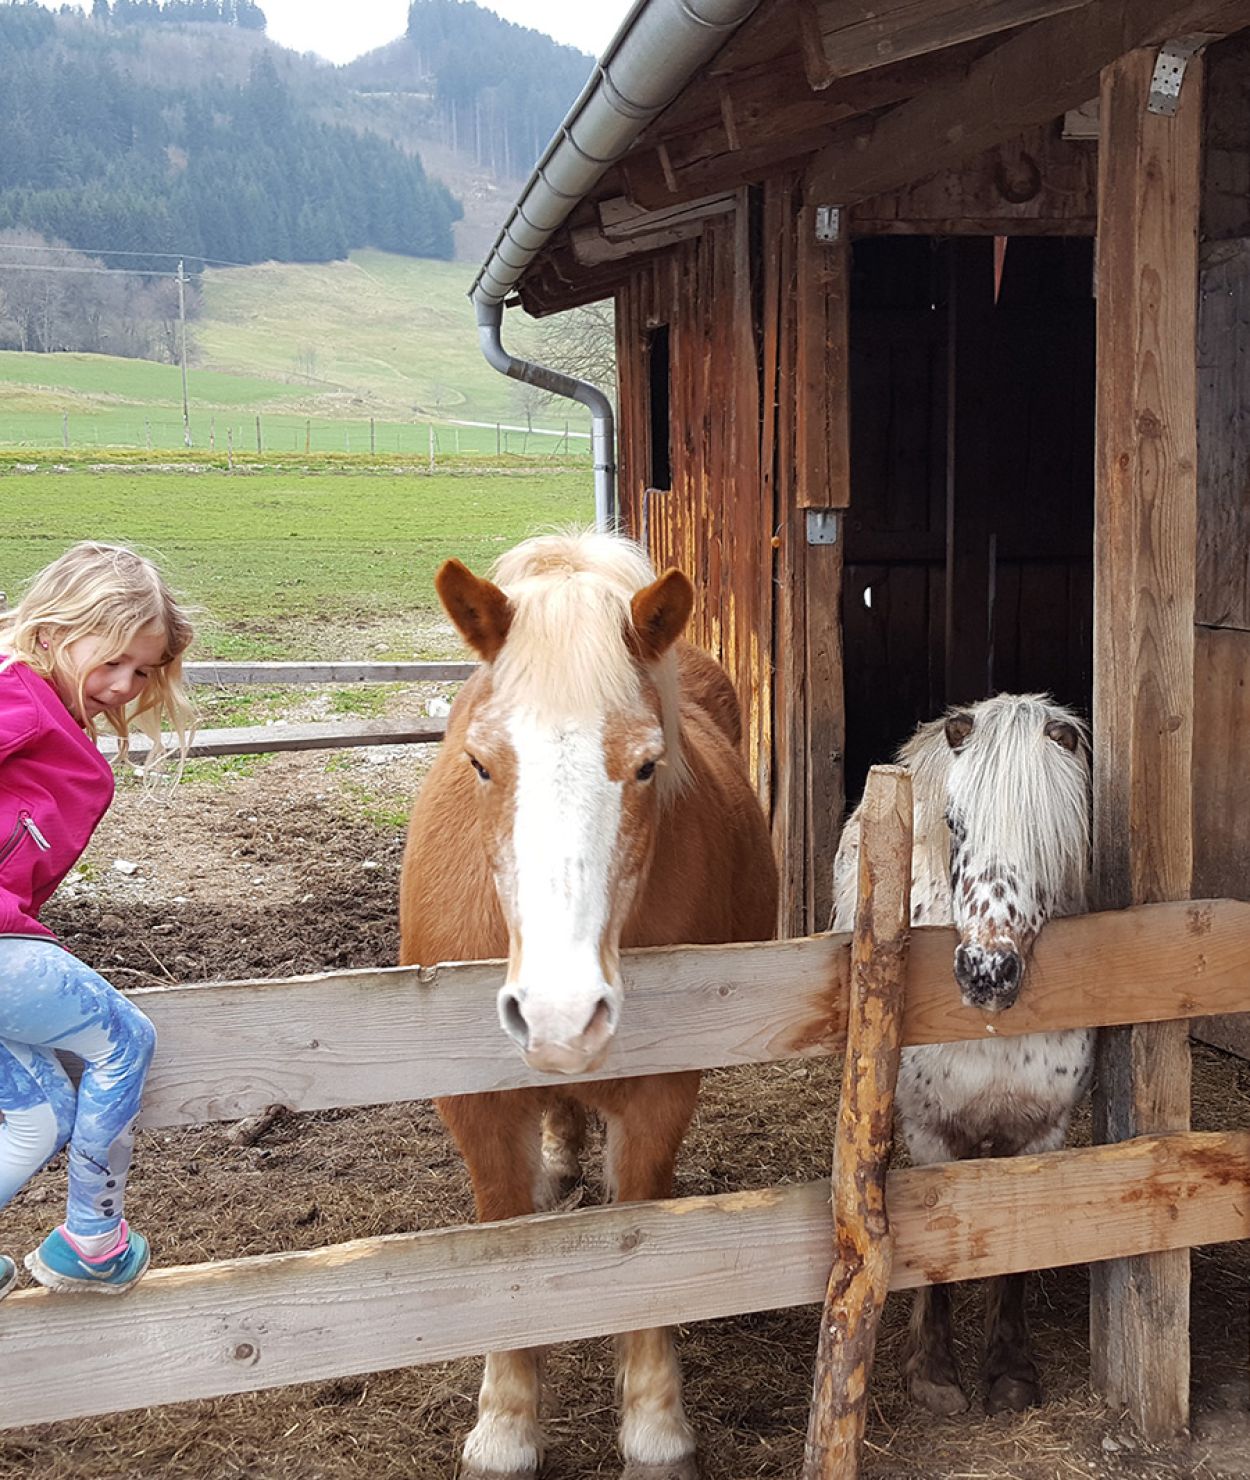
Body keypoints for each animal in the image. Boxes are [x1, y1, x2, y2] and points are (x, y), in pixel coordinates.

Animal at [400, 531, 778, 1480]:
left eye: (646, 764)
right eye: (481, 762)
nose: (561, 1015)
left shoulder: (666, 1085)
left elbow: (640, 1220)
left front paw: (654, 1425)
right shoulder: (471, 1099)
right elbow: (505, 1232)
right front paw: (504, 1429)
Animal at [832, 693, 1091, 1417]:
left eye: (1048, 831)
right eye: (955, 823)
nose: (986, 972)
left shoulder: (1041, 1132)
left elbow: (1014, 1247)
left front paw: (1010, 1371)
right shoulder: (933, 1133)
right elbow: (937, 1248)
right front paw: (933, 1374)